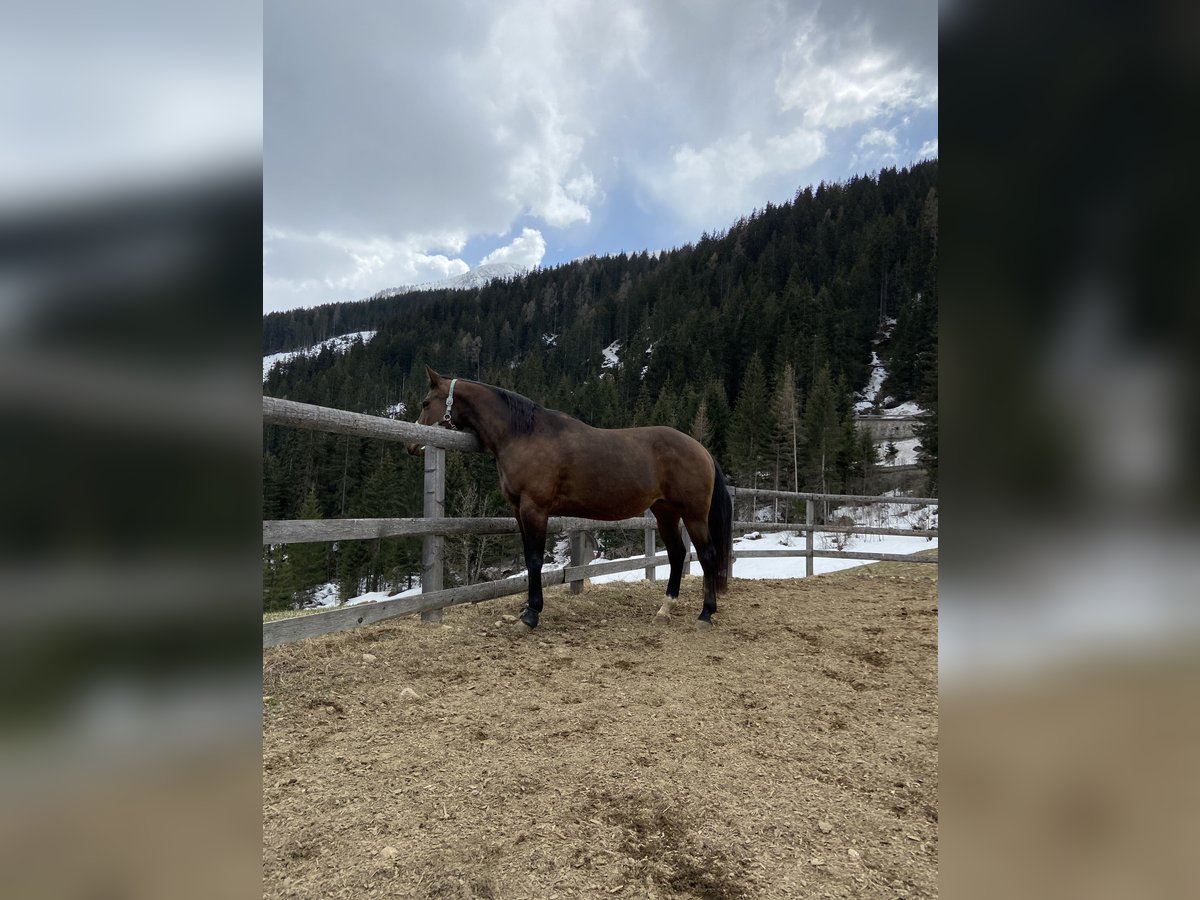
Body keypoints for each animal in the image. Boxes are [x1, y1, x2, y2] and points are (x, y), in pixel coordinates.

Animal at [408, 364, 734, 628]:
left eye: (425, 402)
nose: (412, 445)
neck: (523, 434)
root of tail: (701, 450)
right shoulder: (519, 510)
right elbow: (528, 557)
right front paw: (527, 608)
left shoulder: (535, 509)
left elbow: (535, 559)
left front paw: (531, 615)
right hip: (665, 512)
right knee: (678, 554)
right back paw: (665, 609)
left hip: (693, 514)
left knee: (706, 555)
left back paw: (706, 614)